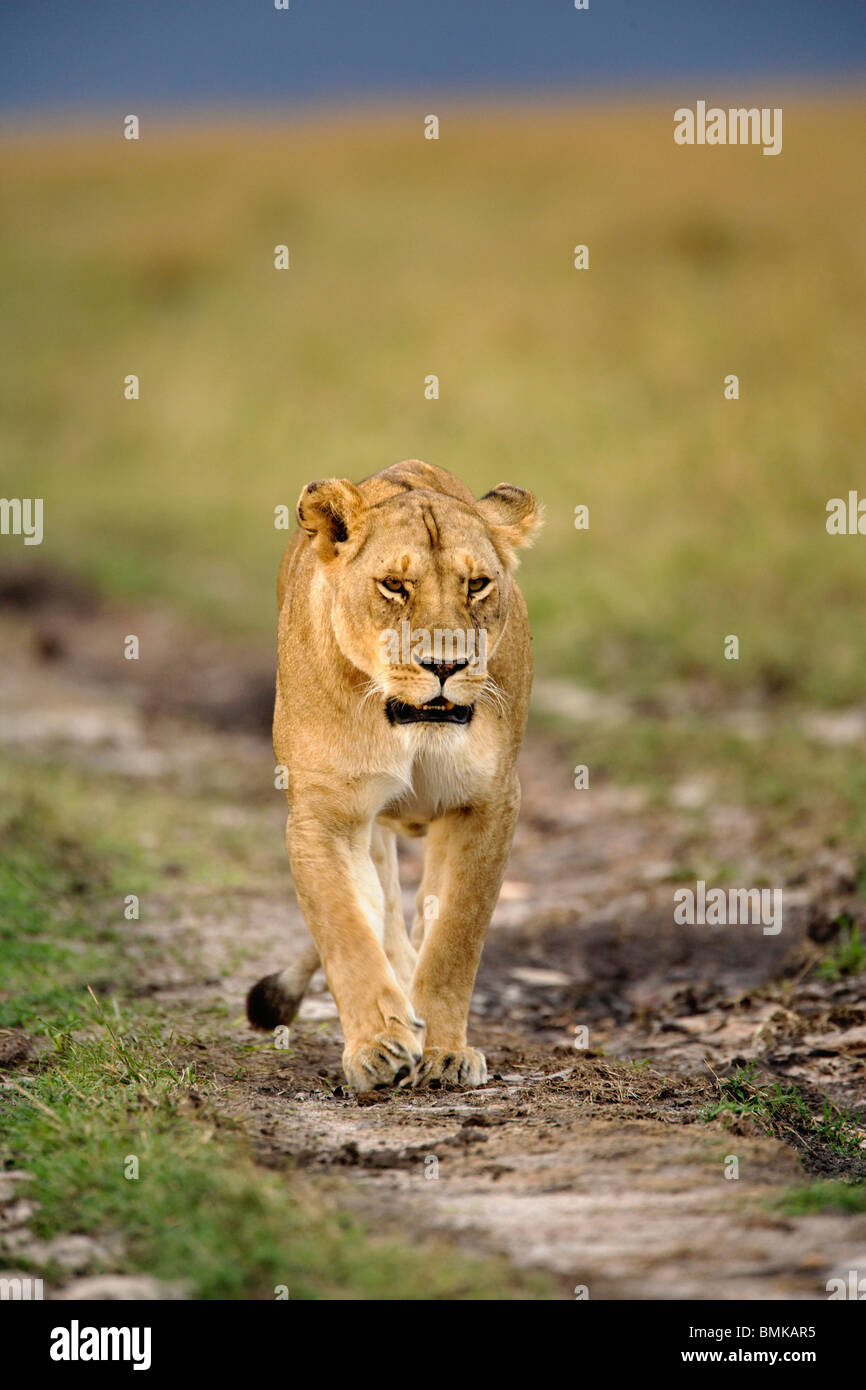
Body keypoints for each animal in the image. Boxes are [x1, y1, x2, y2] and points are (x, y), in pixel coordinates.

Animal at [246, 459, 541, 1090]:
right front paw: (378, 1045)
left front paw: (445, 1053)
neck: (406, 723)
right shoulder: (324, 814)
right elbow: (346, 929)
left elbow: (455, 936)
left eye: (477, 585)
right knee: (381, 903)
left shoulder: (488, 803)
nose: (445, 665)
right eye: (394, 586)